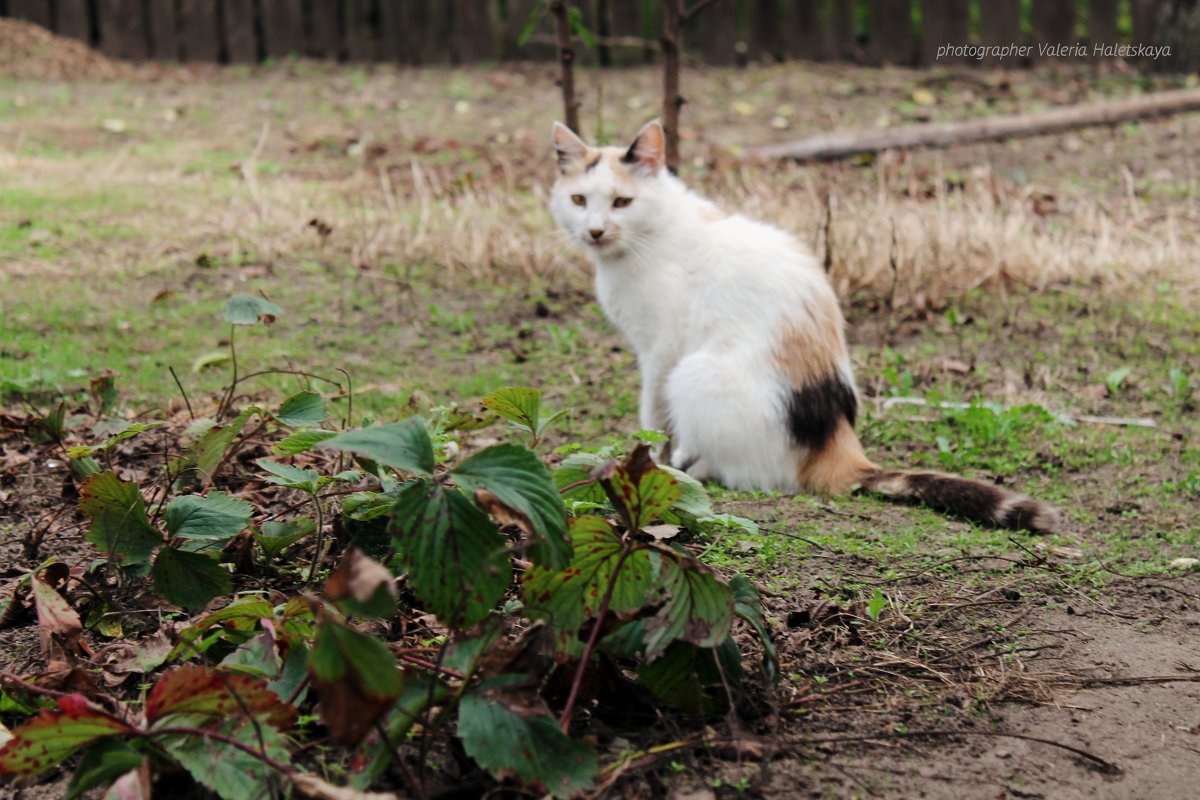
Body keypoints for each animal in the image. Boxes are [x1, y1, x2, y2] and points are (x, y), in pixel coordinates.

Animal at [549, 120, 1056, 532]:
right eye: (579, 200)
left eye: (622, 202)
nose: (595, 230)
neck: (646, 238)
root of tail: (839, 445)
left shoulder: (661, 352)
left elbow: (652, 418)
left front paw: (650, 463)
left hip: (692, 373)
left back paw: (693, 469)